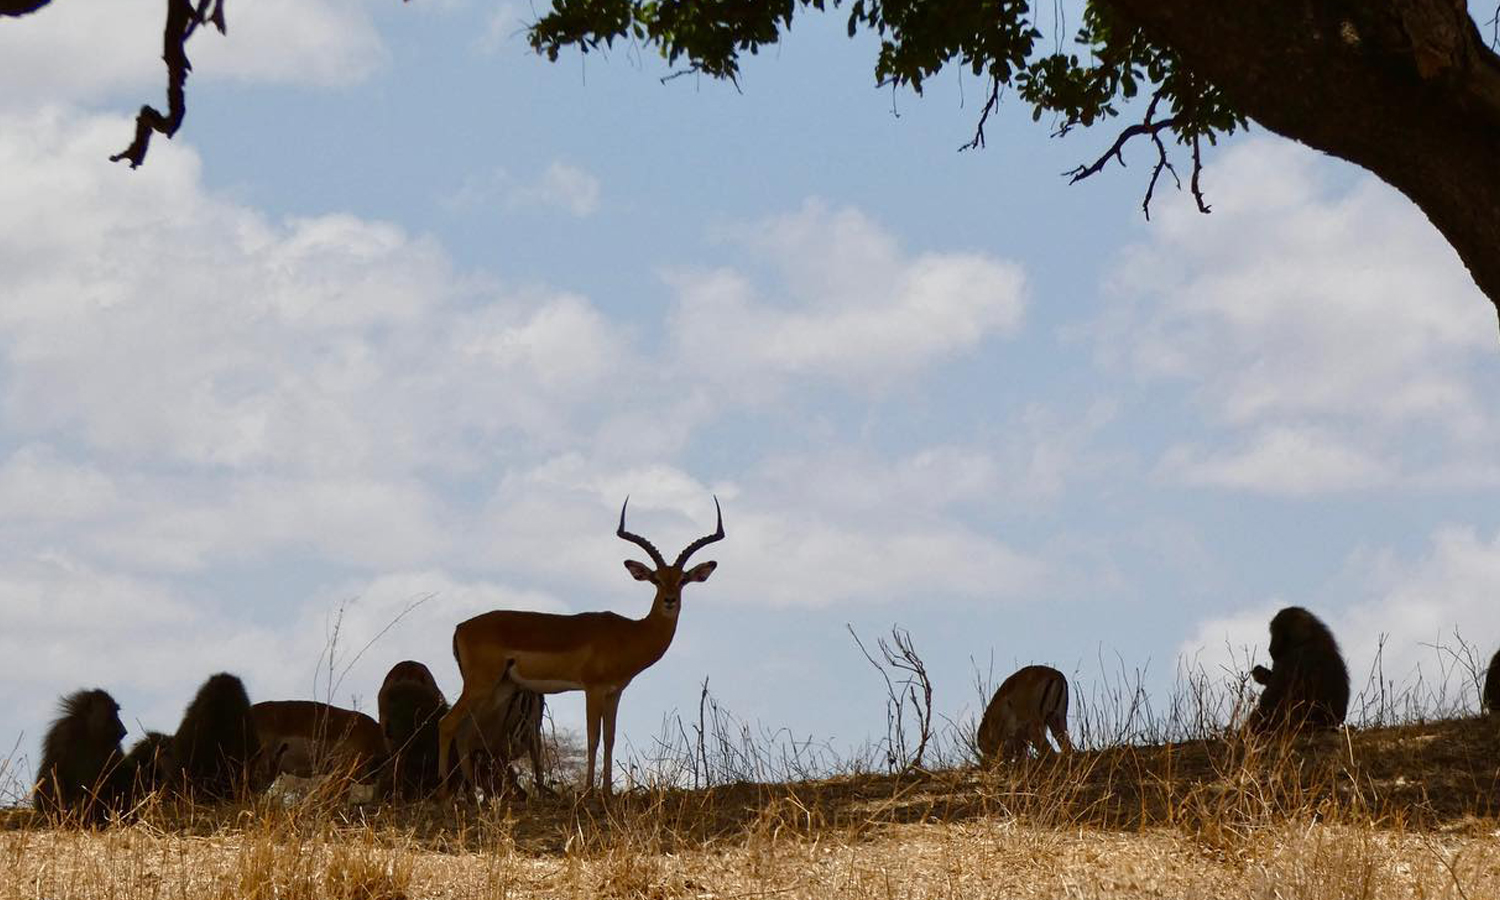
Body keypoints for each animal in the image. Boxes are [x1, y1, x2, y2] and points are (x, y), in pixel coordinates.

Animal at [438, 495, 723, 798]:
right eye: (656, 579)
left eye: (682, 580)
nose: (670, 600)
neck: (631, 633)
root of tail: (460, 627)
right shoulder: (593, 689)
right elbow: (592, 738)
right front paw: (588, 791)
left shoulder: (614, 692)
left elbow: (609, 738)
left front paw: (607, 792)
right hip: (481, 684)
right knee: (447, 724)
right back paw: (445, 793)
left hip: (500, 687)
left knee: (465, 732)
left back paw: (471, 796)